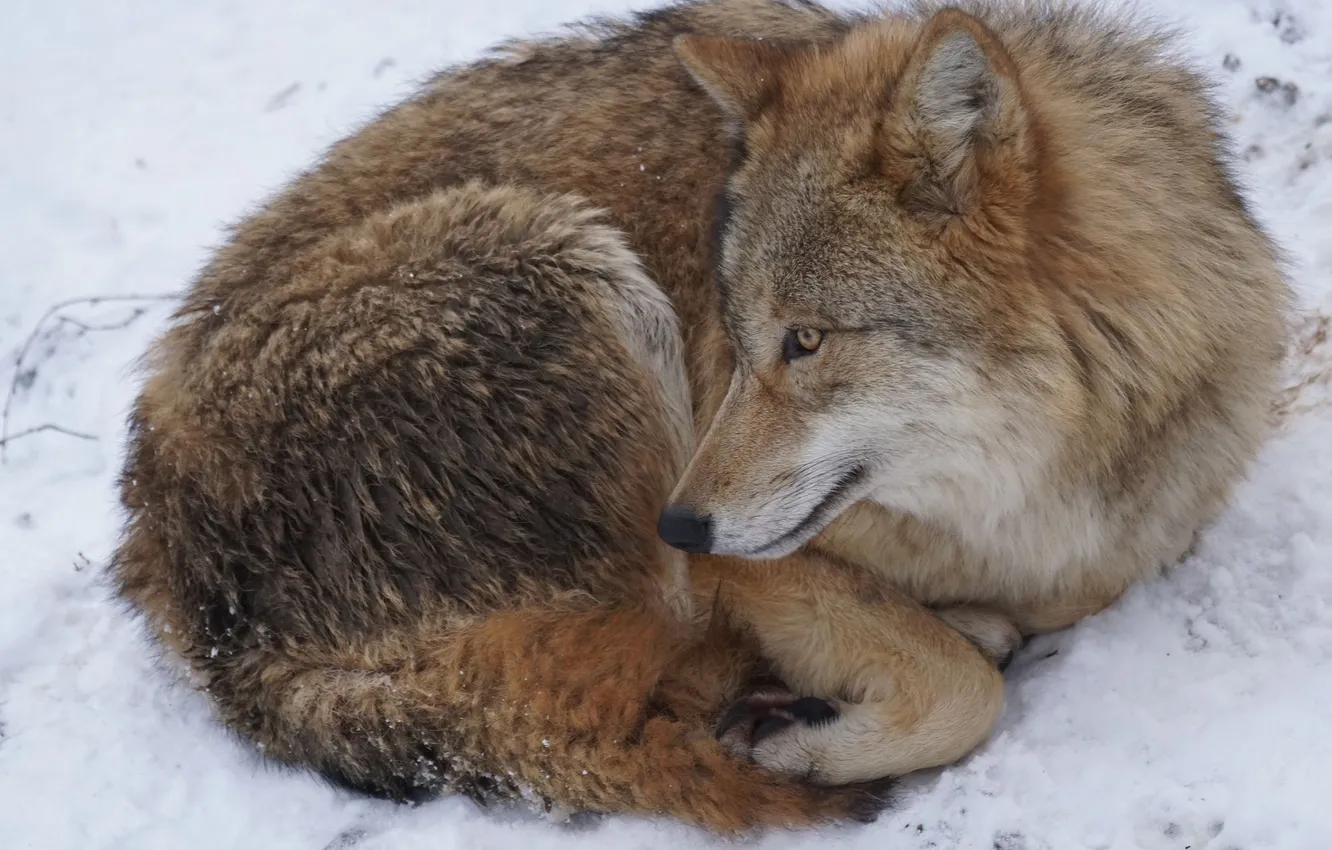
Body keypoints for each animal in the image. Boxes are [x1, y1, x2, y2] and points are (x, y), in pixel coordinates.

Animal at [110, 0, 1287, 831]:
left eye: (805, 340)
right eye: (738, 330)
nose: (680, 521)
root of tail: (177, 577)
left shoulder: (1126, 538)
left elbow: (1045, 607)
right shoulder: (752, 567)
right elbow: (963, 693)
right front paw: (816, 739)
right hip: (569, 256)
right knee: (636, 676)